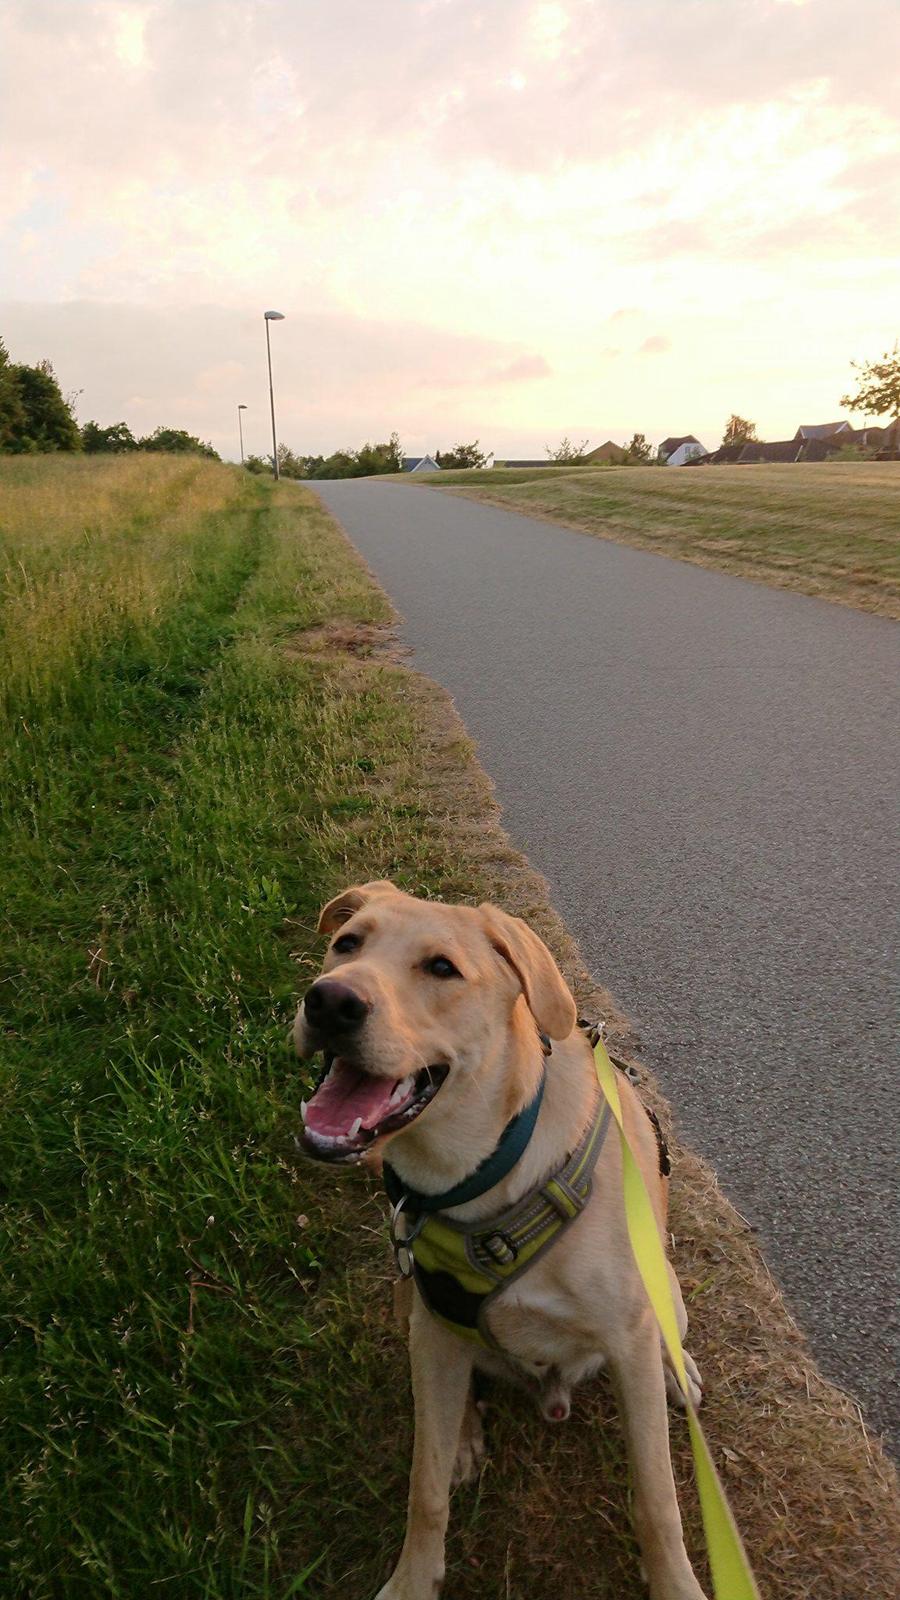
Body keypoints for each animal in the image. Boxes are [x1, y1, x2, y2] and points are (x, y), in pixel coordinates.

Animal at [291, 883, 704, 1600]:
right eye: (348, 943)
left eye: (442, 969)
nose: (330, 1001)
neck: (479, 1173)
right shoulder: (432, 1324)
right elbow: (424, 1487)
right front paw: (413, 1579)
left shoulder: (628, 1338)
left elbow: (658, 1500)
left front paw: (676, 1585)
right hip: (413, 1313)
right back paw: (461, 1434)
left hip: (666, 1296)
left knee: (667, 1340)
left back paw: (680, 1370)